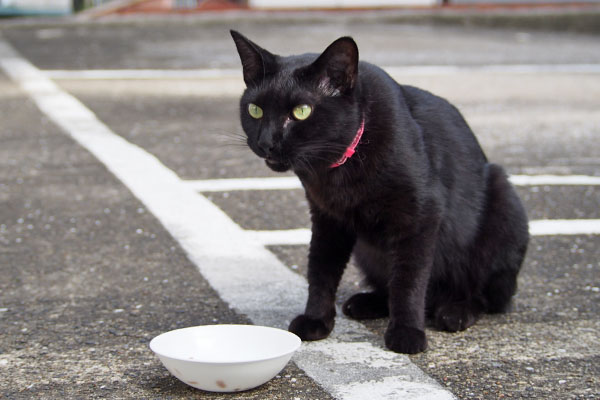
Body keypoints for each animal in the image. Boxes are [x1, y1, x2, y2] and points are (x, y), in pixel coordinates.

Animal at [232, 32, 528, 356]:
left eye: (301, 112)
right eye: (255, 110)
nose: (266, 142)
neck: (340, 168)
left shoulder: (421, 216)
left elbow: (409, 280)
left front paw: (407, 332)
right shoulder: (327, 218)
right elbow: (320, 269)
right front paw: (316, 319)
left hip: (503, 202)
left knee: (487, 294)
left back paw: (456, 310)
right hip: (368, 250)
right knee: (388, 284)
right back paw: (367, 302)